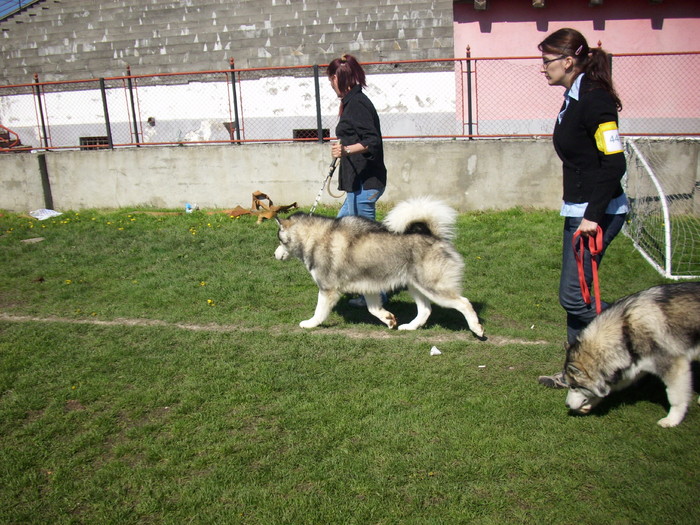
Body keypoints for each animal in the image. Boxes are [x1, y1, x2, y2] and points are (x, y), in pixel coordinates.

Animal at [276, 196, 484, 336]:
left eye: (279, 239)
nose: (275, 255)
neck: (315, 238)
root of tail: (433, 235)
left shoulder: (328, 289)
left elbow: (319, 312)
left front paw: (310, 324)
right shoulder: (368, 286)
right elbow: (373, 309)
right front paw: (388, 319)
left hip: (433, 287)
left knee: (464, 303)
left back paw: (477, 329)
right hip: (415, 286)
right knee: (426, 309)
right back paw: (410, 327)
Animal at [564, 282, 700, 426]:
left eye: (573, 386)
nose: (567, 405)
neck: (625, 332)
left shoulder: (674, 366)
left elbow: (675, 396)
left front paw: (673, 418)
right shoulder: (634, 365)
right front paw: (590, 403)